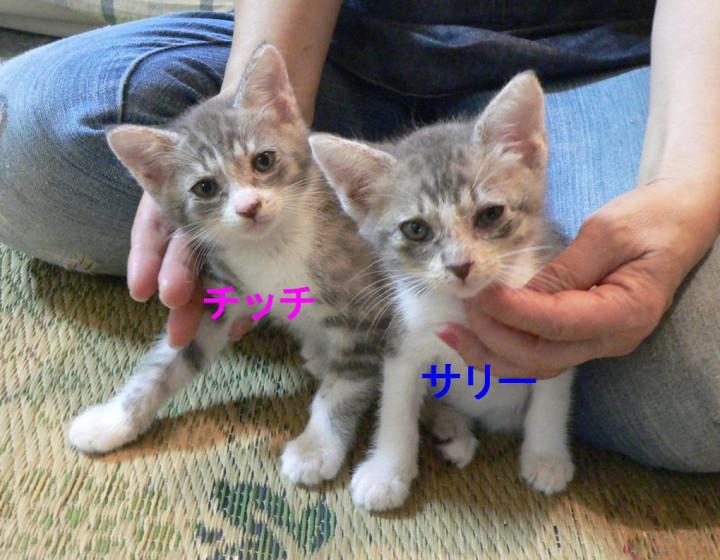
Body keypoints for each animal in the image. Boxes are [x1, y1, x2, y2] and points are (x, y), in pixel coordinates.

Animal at [67, 45, 393, 488]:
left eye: (264, 161)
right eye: (205, 187)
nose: (249, 206)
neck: (272, 250)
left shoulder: (366, 313)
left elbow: (344, 387)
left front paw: (316, 449)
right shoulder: (224, 295)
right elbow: (166, 362)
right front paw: (114, 419)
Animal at [309, 71, 576, 511]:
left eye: (491, 214)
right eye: (416, 229)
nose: (460, 266)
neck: (462, 310)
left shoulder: (552, 334)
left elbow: (550, 400)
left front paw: (546, 457)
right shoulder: (402, 340)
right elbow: (396, 409)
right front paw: (387, 471)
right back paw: (452, 428)